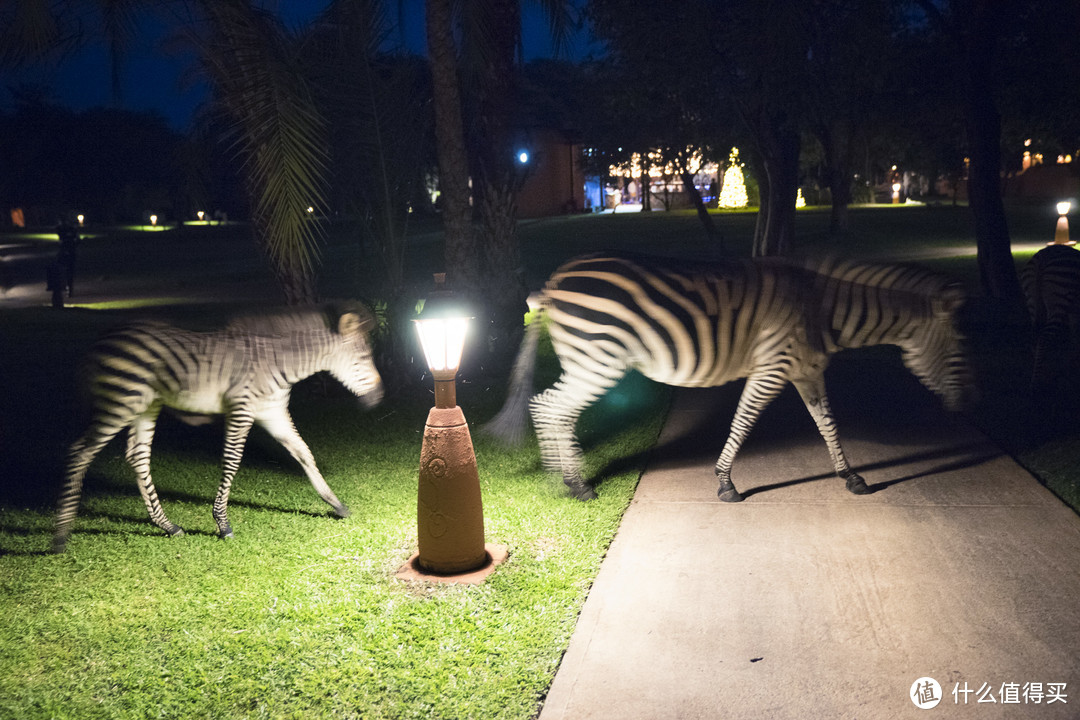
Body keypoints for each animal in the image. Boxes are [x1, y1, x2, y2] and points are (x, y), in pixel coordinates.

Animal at [54, 302, 386, 557]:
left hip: (145, 406)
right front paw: (222, 523)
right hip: (121, 402)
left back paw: (167, 525)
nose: (381, 397)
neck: (281, 363)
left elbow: (304, 454)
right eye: (363, 358)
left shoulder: (273, 413)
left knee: (137, 457)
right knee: (80, 451)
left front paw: (336, 504)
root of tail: (104, 336)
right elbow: (232, 461)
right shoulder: (241, 409)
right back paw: (60, 536)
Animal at [486, 253, 976, 500]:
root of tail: (553, 283)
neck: (822, 311)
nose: (964, 409)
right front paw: (725, 483)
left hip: (587, 360)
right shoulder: (772, 368)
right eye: (960, 349)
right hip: (597, 358)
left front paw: (851, 477)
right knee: (550, 407)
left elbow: (828, 425)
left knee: (547, 407)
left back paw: (564, 479)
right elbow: (743, 422)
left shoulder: (807, 372)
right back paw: (575, 484)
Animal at [1019, 246, 1080, 395]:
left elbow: (1075, 337)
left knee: (1035, 337)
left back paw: (1043, 377)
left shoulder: (1074, 313)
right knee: (1044, 338)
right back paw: (1035, 385)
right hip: (1059, 299)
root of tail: (1044, 256)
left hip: (1032, 302)